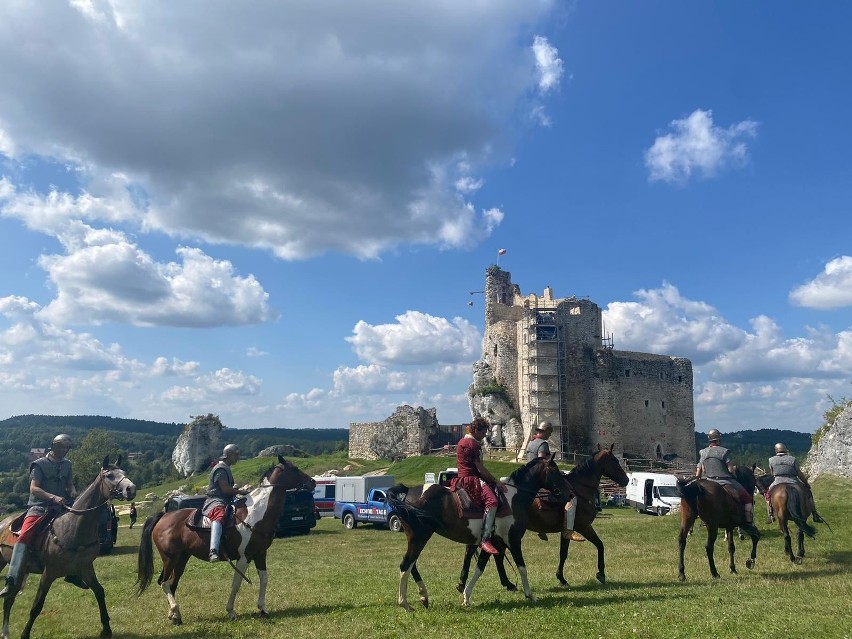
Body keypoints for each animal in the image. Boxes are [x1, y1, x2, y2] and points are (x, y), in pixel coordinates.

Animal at [0, 458, 136, 639]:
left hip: (21, 570)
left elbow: (99, 591)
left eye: (124, 473)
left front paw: (106, 628)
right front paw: (25, 634)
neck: (73, 526)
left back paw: (6, 632)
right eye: (110, 476)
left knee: (9, 599)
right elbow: (37, 606)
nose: (131, 489)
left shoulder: (86, 567)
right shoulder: (48, 574)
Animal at [135, 458, 314, 628]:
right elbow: (236, 584)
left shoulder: (260, 554)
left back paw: (175, 616)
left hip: (181, 559)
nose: (312, 482)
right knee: (164, 583)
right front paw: (231, 612)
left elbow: (264, 579)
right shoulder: (244, 557)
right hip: (170, 558)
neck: (256, 513)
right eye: (294, 469)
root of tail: (164, 516)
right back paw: (174, 611)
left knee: (172, 584)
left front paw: (263, 609)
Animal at [386, 452, 572, 612]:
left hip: (416, 538)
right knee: (406, 565)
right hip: (420, 537)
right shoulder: (513, 540)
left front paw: (466, 597)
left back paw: (423, 596)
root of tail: (408, 492)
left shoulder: (492, 542)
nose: (569, 494)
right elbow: (522, 567)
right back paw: (405, 604)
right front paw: (530, 595)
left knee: (412, 565)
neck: (514, 497)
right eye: (554, 470)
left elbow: (479, 568)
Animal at [456, 444, 628, 592]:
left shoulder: (566, 531)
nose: (626, 480)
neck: (580, 490)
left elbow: (563, 553)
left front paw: (561, 578)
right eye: (614, 461)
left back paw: (501, 583)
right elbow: (600, 545)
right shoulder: (583, 526)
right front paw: (601, 574)